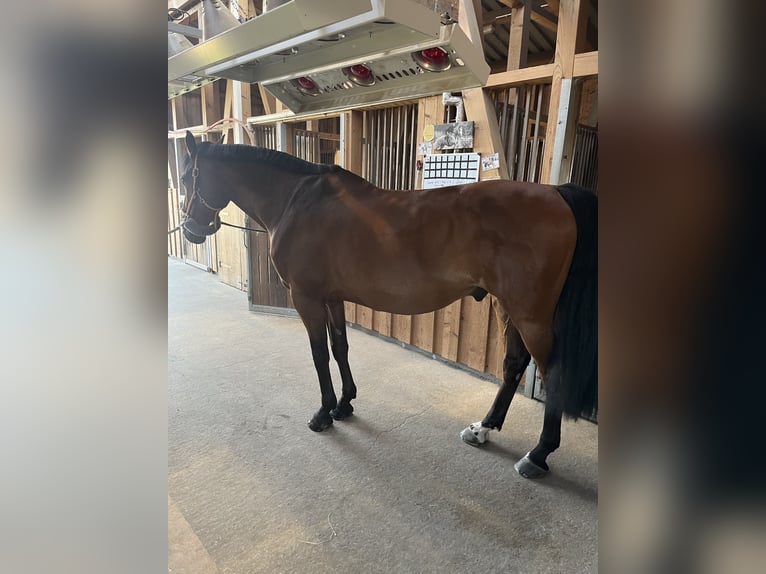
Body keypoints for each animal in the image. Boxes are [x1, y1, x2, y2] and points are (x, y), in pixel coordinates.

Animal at [182, 133, 600, 480]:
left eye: (188, 178)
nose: (190, 230)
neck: (297, 202)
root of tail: (557, 193)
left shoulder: (307, 298)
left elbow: (319, 354)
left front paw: (323, 413)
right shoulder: (332, 297)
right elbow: (340, 347)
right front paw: (345, 405)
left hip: (531, 315)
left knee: (551, 372)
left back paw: (538, 454)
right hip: (507, 306)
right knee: (514, 364)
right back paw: (483, 428)